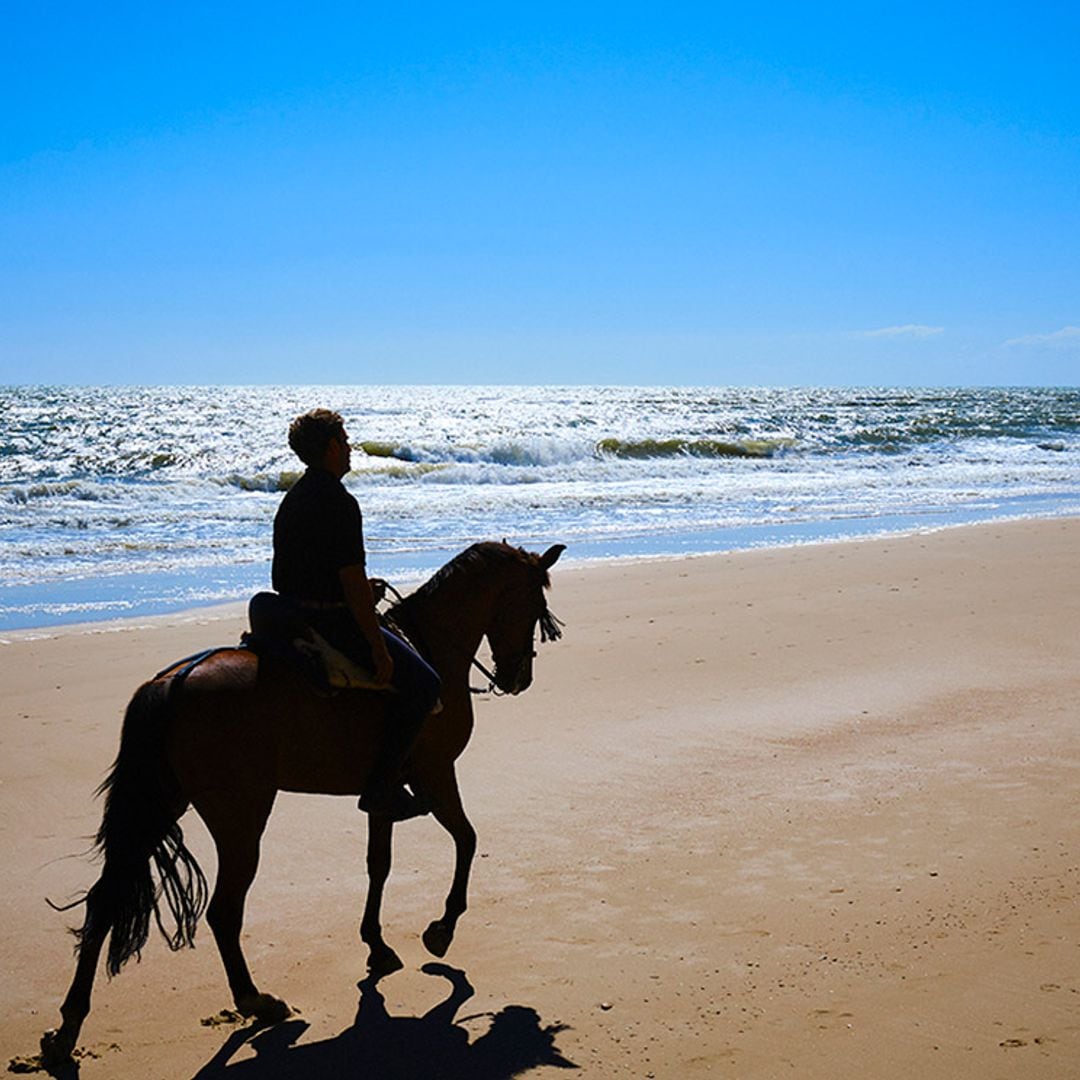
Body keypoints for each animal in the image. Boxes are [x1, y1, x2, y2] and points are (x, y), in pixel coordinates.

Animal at [42, 540, 565, 1062]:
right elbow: (467, 839)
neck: (433, 644)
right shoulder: (436, 774)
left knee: (106, 897)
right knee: (223, 911)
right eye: (535, 607)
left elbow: (379, 864)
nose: (519, 677)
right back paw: (255, 1002)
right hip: (240, 816)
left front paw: (376, 945)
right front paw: (441, 930)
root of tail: (172, 683)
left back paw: (69, 1026)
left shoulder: (384, 793)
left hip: (161, 802)